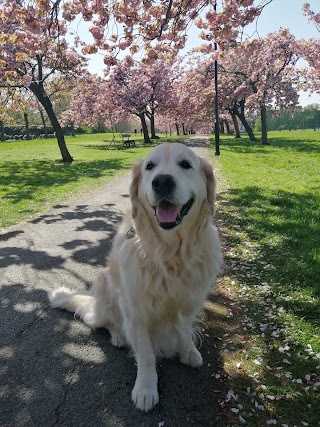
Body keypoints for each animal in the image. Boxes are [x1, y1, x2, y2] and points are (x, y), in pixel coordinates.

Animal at [51, 143, 224, 412]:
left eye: (186, 164)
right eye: (150, 166)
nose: (162, 182)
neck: (169, 255)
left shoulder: (189, 301)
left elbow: (184, 330)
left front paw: (188, 351)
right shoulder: (136, 311)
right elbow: (145, 355)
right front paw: (145, 389)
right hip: (105, 288)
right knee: (106, 322)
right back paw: (119, 336)